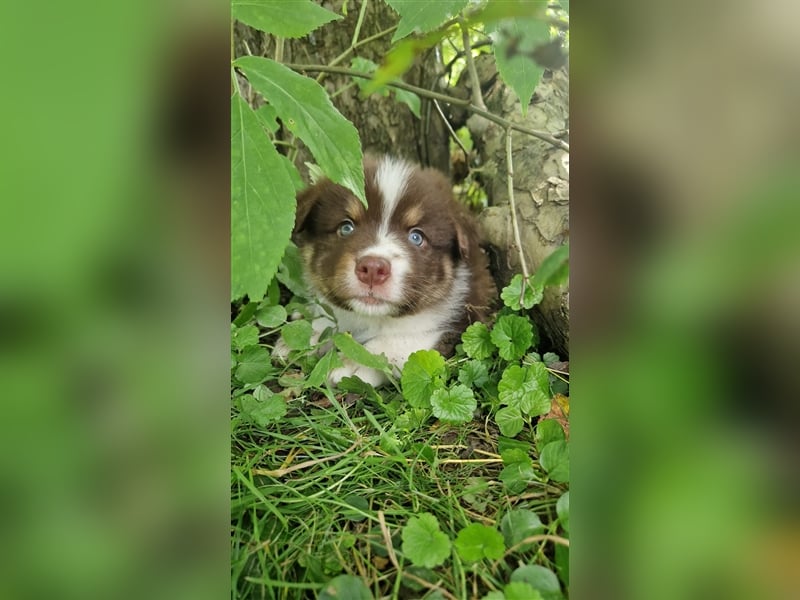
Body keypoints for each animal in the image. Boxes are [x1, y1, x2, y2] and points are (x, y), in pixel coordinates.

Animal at [290, 155, 496, 386]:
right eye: (346, 227)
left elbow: (401, 340)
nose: (372, 268)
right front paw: (307, 333)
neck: (373, 317)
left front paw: (355, 362)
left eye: (416, 237)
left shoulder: (459, 317)